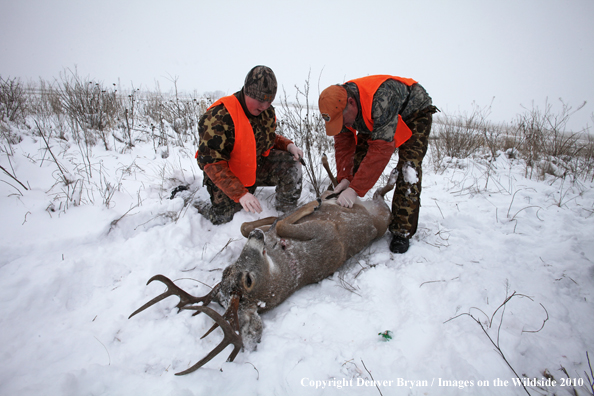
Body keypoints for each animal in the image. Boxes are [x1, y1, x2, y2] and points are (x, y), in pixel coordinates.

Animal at [130, 167, 398, 374]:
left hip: (377, 211)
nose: (258, 238)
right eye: (246, 279)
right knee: (379, 192)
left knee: (373, 192)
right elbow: (275, 223)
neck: (285, 258)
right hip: (380, 212)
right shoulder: (327, 234)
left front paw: (312, 202)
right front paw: (313, 203)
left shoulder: (319, 233)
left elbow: (260, 223)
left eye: (231, 270)